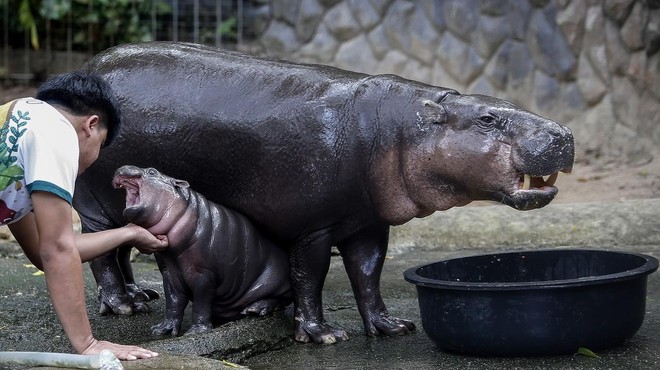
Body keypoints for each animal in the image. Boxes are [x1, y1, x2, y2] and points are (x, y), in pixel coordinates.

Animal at [113, 165, 292, 336]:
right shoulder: (169, 272)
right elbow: (173, 301)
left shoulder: (204, 274)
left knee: (281, 300)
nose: (121, 167)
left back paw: (255, 309)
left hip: (275, 281)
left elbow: (201, 302)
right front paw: (162, 329)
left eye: (152, 171)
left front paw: (196, 331)